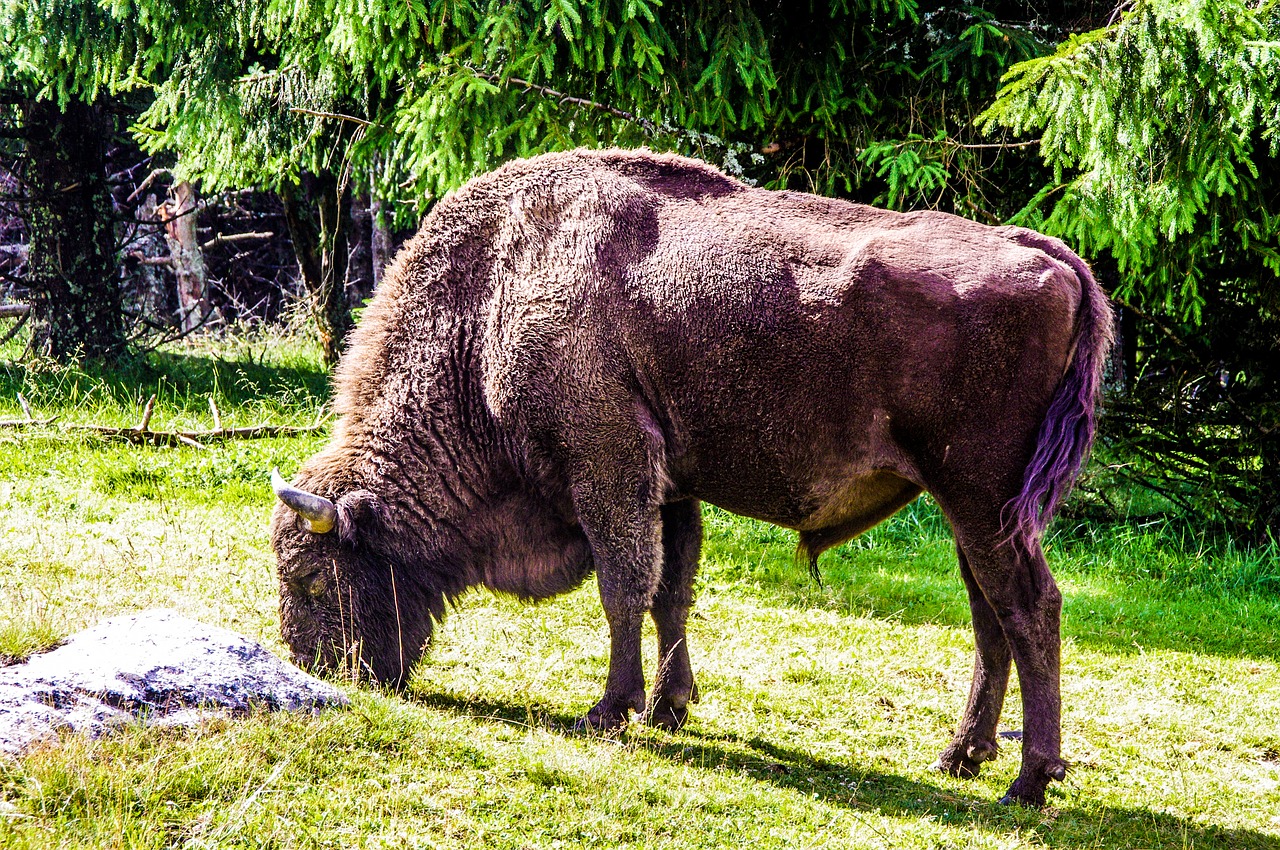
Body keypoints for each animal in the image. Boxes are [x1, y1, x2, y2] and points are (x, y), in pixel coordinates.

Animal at [270, 145, 1111, 803]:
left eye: (314, 579)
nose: (320, 670)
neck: (494, 299)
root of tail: (1047, 256)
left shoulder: (609, 469)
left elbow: (624, 587)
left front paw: (609, 710)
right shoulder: (670, 489)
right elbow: (670, 592)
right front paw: (668, 708)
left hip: (983, 500)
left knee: (1030, 609)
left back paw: (1029, 780)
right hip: (970, 512)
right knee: (989, 615)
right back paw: (961, 756)